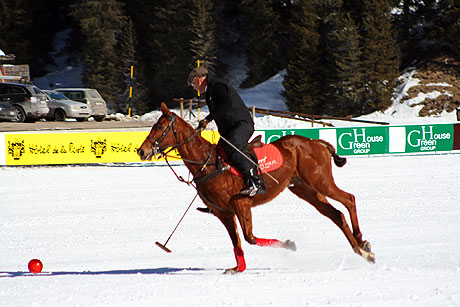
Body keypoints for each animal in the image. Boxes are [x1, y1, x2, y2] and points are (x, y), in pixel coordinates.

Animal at [137, 103, 374, 274]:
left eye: (160, 127)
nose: (141, 151)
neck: (208, 163)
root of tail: (317, 143)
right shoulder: (224, 212)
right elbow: (237, 241)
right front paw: (238, 268)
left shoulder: (241, 204)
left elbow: (249, 237)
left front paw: (289, 244)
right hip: (305, 189)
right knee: (336, 214)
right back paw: (361, 249)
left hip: (320, 180)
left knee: (349, 199)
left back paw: (363, 244)